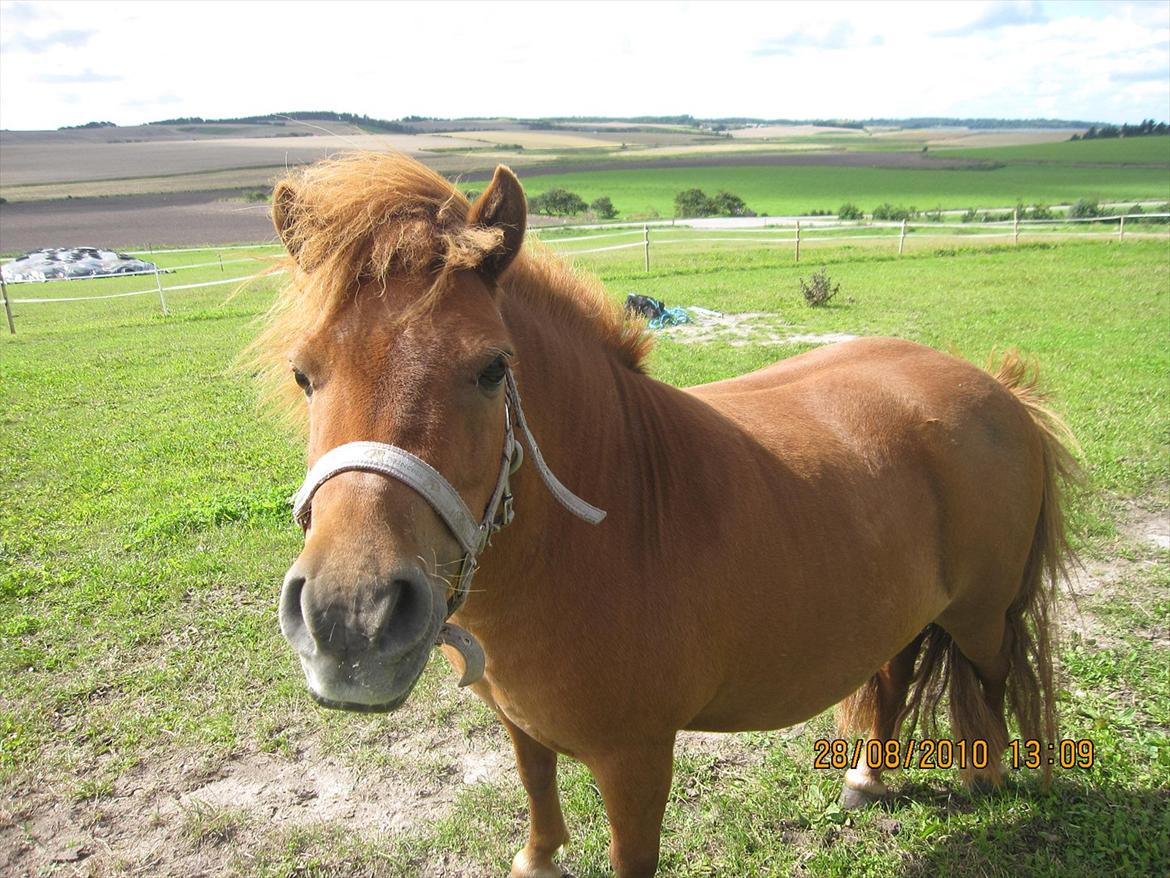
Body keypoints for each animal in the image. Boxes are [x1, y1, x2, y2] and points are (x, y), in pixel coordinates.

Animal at [258, 153, 1076, 878]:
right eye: (303, 375)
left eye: (492, 369)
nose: (350, 621)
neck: (601, 531)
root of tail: (1001, 389)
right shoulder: (521, 722)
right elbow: (537, 794)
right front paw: (538, 858)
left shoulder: (638, 758)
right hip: (907, 607)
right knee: (896, 668)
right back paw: (868, 778)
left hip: (982, 615)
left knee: (990, 680)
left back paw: (989, 778)